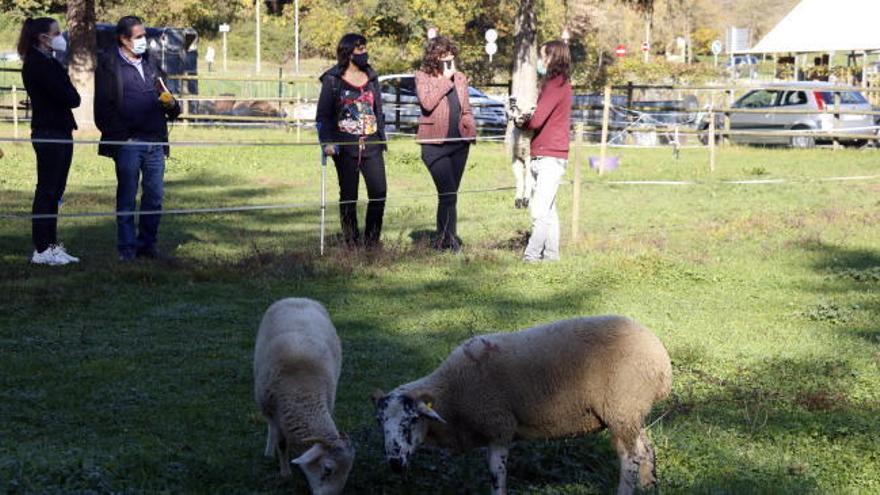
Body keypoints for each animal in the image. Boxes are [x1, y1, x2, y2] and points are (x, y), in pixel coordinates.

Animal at [254, 298, 354, 495]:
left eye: (348, 472)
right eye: (327, 469)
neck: (302, 393)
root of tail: (296, 297)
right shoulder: (274, 410)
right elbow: (281, 443)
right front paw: (285, 473)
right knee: (270, 427)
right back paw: (268, 451)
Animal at [372, 316, 672, 495]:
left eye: (412, 420)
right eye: (380, 423)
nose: (395, 464)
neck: (452, 392)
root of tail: (661, 359)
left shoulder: (499, 426)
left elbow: (496, 475)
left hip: (622, 407)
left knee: (629, 459)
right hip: (630, 412)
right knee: (645, 449)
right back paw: (649, 486)